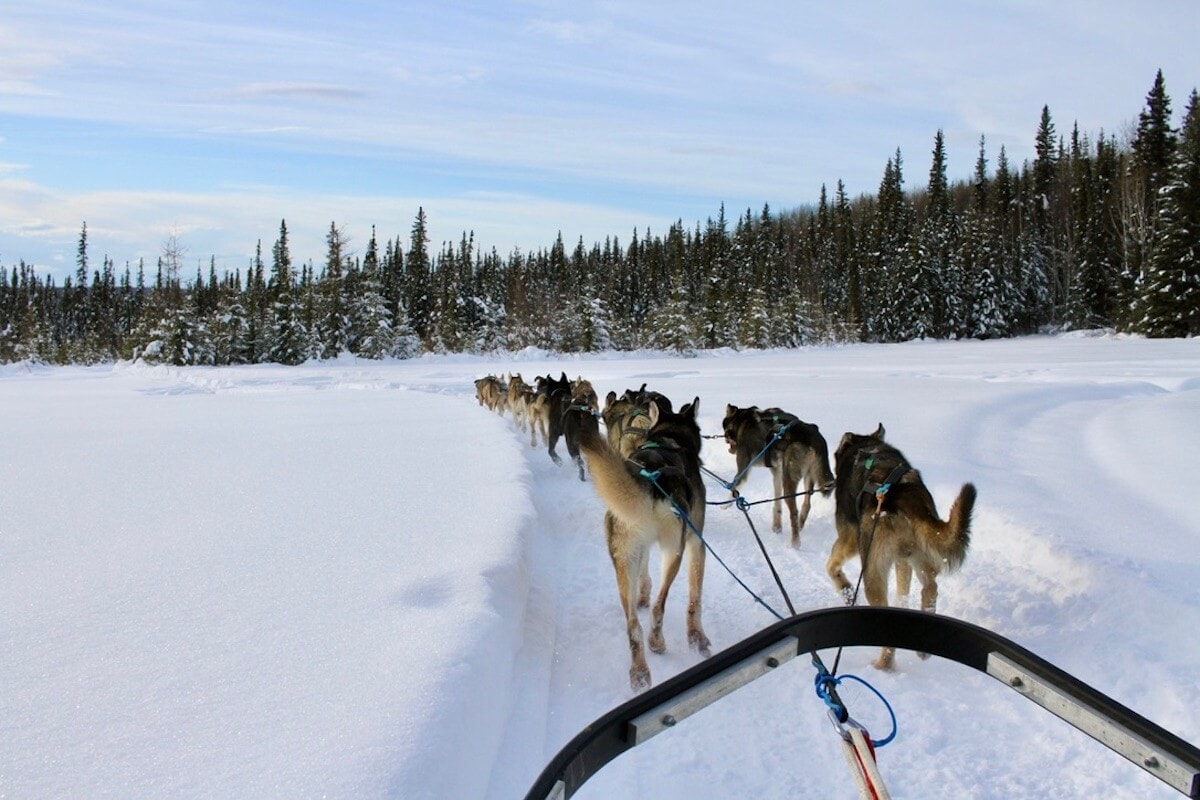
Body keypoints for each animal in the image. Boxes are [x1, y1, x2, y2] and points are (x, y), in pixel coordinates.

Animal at [573, 398, 705, 690]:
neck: (670, 439)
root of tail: (651, 478)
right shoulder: (696, 543)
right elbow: (695, 598)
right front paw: (697, 637)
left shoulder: (641, 548)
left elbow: (645, 576)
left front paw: (642, 595)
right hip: (674, 551)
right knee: (659, 607)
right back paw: (656, 642)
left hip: (624, 560)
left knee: (633, 625)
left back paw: (640, 671)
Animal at [720, 402, 835, 546]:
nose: (724, 439)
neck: (743, 421)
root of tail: (815, 438)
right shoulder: (777, 472)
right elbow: (777, 502)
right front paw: (777, 526)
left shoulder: (744, 468)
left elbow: (734, 488)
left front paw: (724, 505)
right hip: (807, 477)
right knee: (807, 504)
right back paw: (800, 526)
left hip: (789, 480)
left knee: (794, 511)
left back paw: (795, 543)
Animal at [830, 424, 979, 671]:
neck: (866, 447)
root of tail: (907, 498)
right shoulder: (902, 560)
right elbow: (903, 591)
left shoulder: (849, 538)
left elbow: (831, 565)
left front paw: (846, 589)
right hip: (919, 557)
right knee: (930, 588)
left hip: (872, 570)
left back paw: (883, 664)